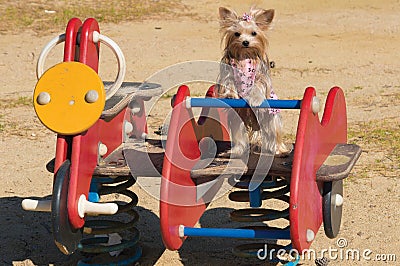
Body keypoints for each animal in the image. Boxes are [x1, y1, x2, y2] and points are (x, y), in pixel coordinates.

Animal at [216, 6, 288, 158]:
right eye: (237, 34)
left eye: (254, 33)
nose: (245, 42)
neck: (245, 55)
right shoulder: (229, 74)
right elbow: (229, 83)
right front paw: (230, 95)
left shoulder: (260, 77)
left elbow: (256, 86)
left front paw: (255, 98)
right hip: (238, 118)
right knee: (239, 136)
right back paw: (235, 151)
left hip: (270, 118)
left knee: (274, 133)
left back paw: (280, 150)